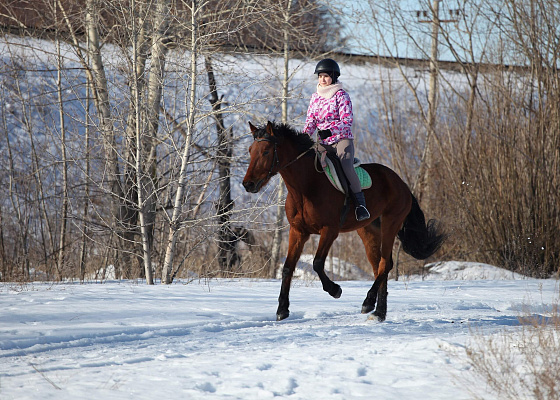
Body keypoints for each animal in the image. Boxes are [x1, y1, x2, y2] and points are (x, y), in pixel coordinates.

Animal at [243, 122, 444, 322]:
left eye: (266, 151)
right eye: (250, 150)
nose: (248, 184)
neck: (306, 187)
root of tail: (401, 183)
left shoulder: (329, 230)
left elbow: (317, 263)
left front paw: (335, 290)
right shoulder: (298, 231)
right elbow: (287, 268)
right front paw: (282, 310)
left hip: (390, 224)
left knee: (385, 264)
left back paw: (370, 304)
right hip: (368, 231)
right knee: (379, 265)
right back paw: (379, 311)